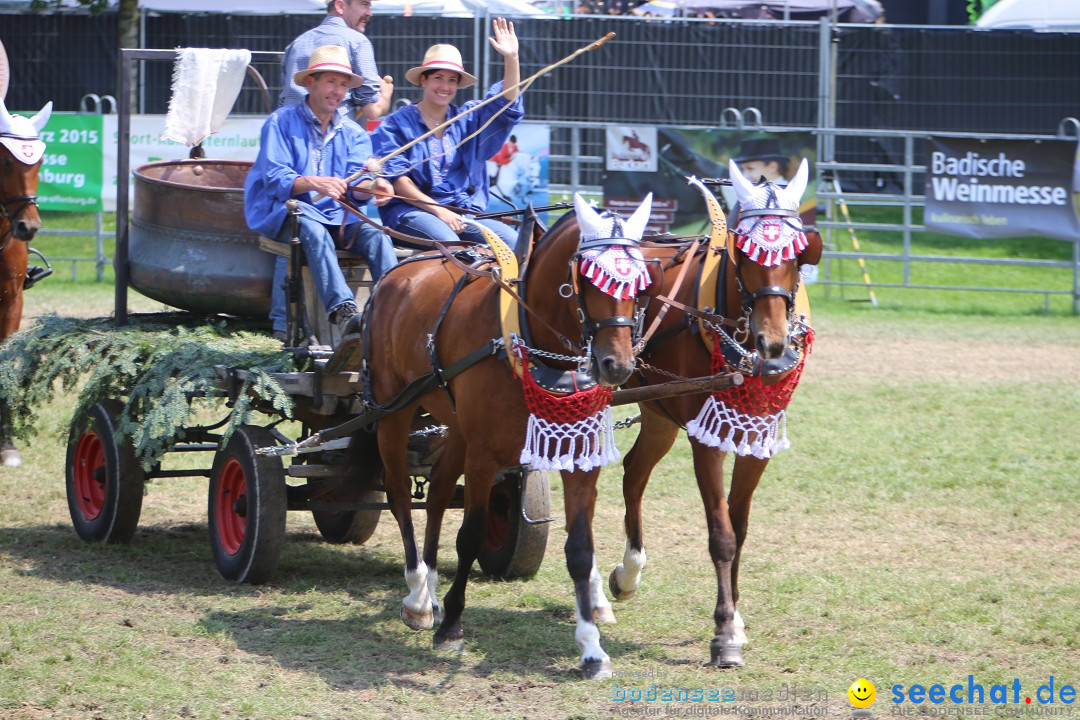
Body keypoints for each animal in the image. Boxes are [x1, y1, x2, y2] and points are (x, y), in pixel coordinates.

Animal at [362, 194, 652, 677]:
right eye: (590, 278)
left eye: (640, 284)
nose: (619, 365)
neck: (528, 343)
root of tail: (399, 272)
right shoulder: (483, 457)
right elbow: (471, 535)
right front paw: (452, 627)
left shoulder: (578, 457)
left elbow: (580, 549)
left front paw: (592, 649)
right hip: (393, 411)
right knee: (400, 494)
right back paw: (419, 594)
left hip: (457, 426)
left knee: (437, 493)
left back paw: (431, 587)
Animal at [609, 160, 816, 669]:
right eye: (745, 254)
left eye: (799, 254)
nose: (773, 344)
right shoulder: (707, 438)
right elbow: (720, 534)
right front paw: (723, 634)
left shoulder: (756, 436)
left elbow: (739, 529)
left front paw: (736, 620)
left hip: (658, 411)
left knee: (634, 471)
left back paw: (628, 573)